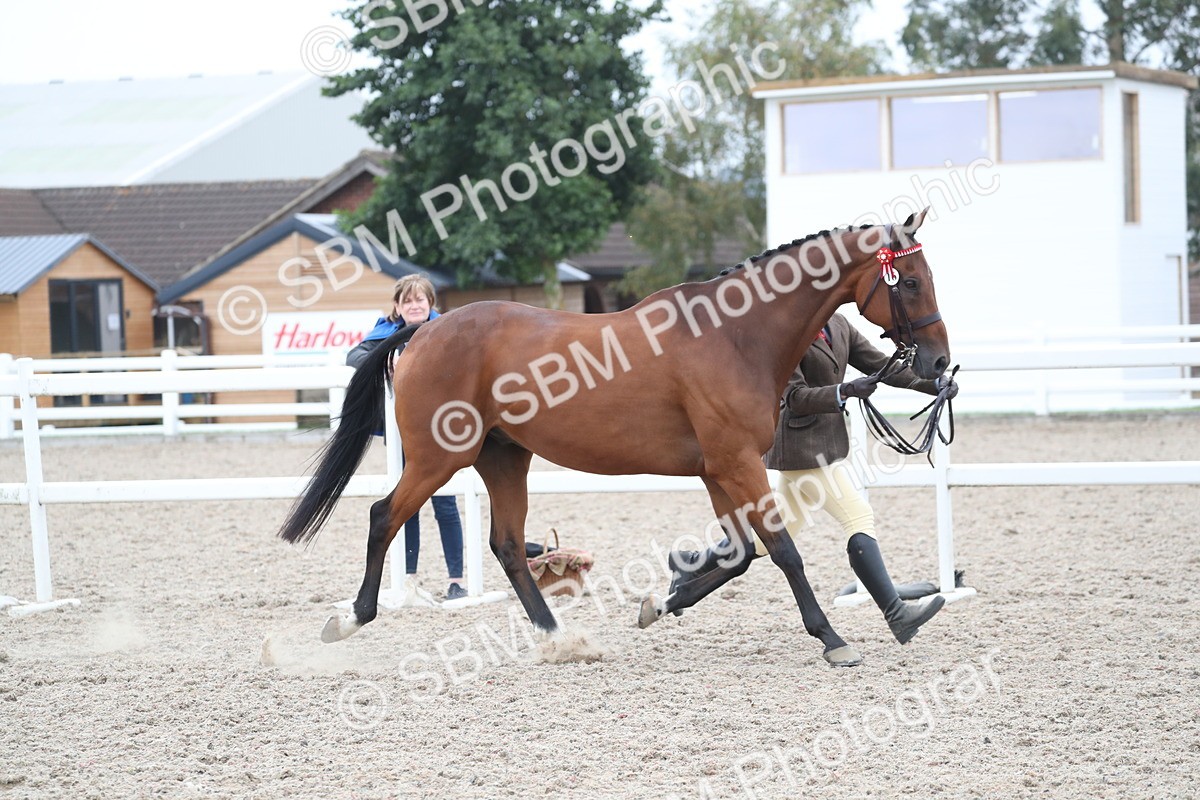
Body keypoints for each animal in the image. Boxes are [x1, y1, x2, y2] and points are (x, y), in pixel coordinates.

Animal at [278, 208, 950, 667]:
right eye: (912, 281)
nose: (940, 364)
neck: (735, 335)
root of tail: (421, 332)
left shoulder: (718, 468)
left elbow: (740, 554)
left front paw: (666, 599)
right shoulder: (736, 463)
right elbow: (782, 550)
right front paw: (832, 638)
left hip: (504, 457)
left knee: (507, 546)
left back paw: (559, 637)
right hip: (439, 457)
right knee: (383, 517)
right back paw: (352, 619)